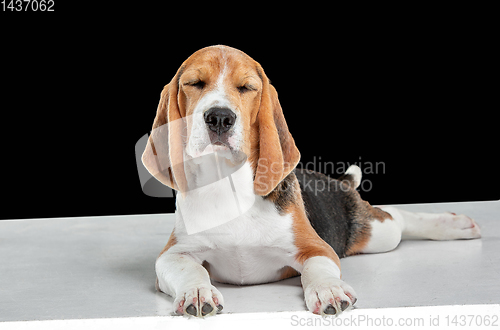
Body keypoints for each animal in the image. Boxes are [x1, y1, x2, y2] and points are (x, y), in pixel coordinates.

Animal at [141, 45, 480, 318]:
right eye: (194, 84)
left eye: (246, 87)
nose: (220, 118)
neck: (227, 184)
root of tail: (336, 183)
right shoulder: (173, 254)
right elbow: (189, 268)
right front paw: (197, 291)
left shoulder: (317, 247)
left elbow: (317, 268)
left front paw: (329, 289)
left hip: (378, 234)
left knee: (395, 216)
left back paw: (453, 224)